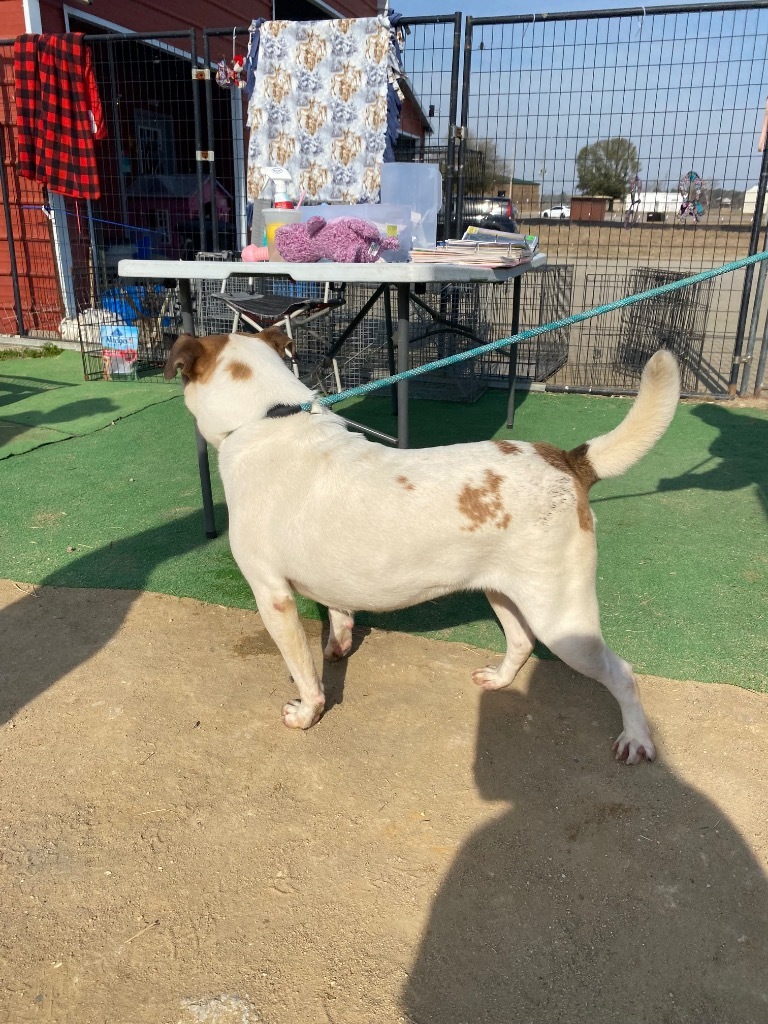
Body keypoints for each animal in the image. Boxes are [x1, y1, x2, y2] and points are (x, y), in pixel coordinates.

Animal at [165, 331, 684, 765]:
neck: (268, 416)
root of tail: (567, 459)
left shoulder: (272, 596)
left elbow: (304, 673)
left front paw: (307, 713)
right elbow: (339, 615)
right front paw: (339, 644)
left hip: (563, 620)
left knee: (622, 673)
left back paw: (637, 738)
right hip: (506, 592)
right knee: (520, 641)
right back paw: (500, 680)